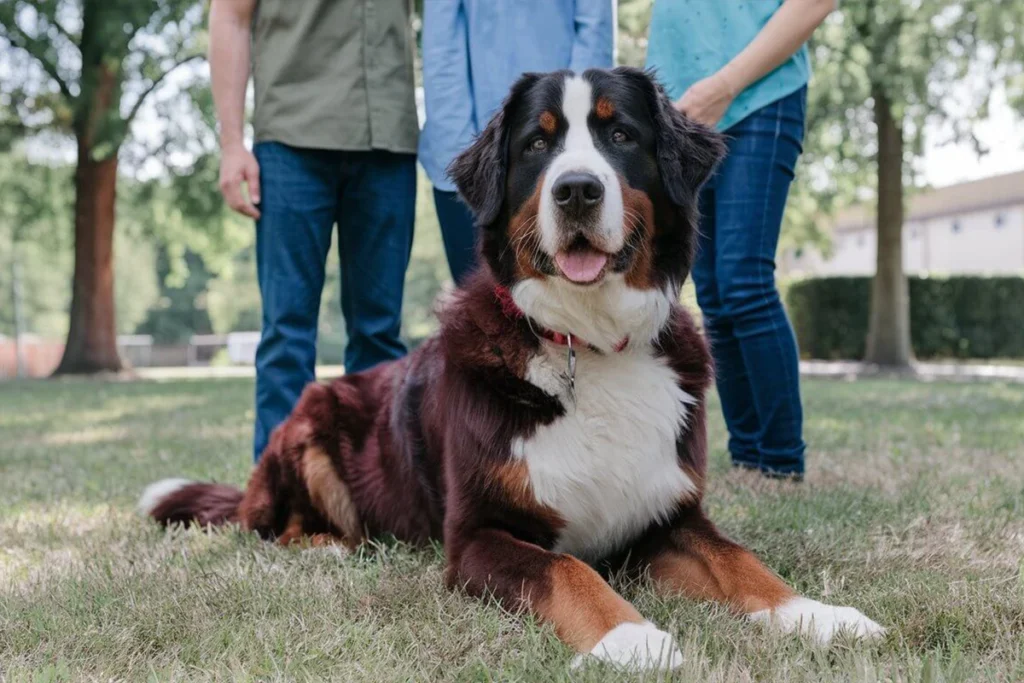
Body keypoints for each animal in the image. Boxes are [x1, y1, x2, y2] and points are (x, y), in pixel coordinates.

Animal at [140, 68, 884, 667]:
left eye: (621, 136)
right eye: (536, 144)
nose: (577, 190)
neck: (587, 340)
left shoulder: (665, 515)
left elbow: (743, 562)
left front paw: (819, 615)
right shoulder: (478, 536)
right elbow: (566, 570)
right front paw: (631, 638)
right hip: (311, 417)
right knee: (269, 525)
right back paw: (331, 545)